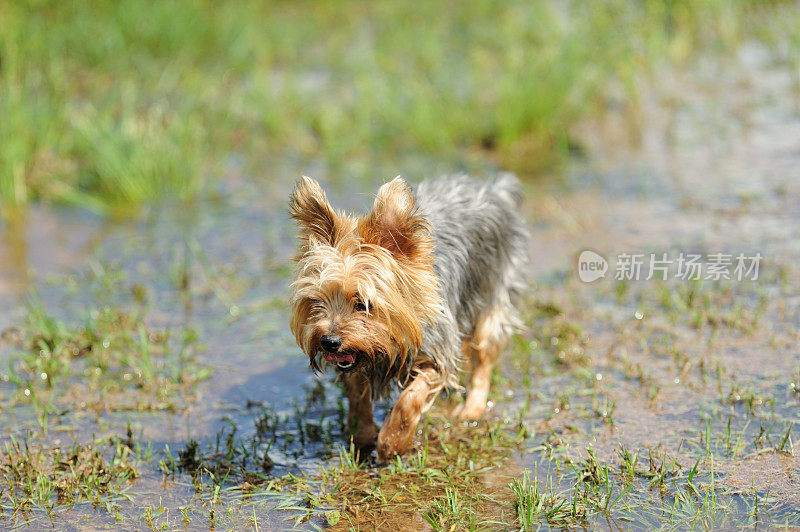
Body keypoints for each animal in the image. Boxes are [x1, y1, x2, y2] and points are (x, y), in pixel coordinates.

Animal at [290, 174, 528, 458]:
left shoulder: (436, 352)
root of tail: (493, 189)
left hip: (493, 293)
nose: (329, 342)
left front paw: (392, 442)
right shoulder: (355, 360)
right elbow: (357, 396)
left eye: (363, 304)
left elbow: (410, 399)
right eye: (317, 302)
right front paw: (362, 435)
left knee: (484, 357)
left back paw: (472, 410)